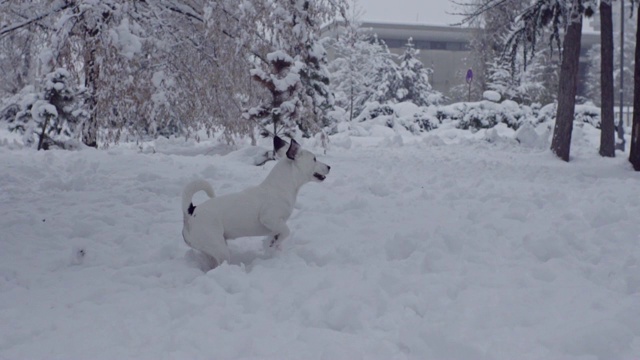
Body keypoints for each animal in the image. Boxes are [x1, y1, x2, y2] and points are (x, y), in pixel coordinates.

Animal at [180, 136, 330, 266]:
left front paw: (272, 246)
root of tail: (190, 212)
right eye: (314, 159)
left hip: (211, 249)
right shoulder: (269, 219)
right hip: (219, 248)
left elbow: (276, 236)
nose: (329, 166)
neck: (280, 186)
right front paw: (273, 244)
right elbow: (286, 231)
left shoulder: (275, 225)